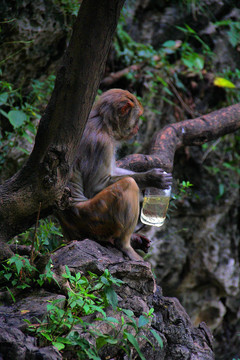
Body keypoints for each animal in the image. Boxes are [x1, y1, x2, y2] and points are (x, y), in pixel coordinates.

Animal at [57, 88, 172, 260]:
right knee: (128, 184)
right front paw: (152, 178)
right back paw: (124, 245)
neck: (104, 124)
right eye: (137, 117)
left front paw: (147, 184)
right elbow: (95, 187)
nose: (138, 127)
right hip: (94, 217)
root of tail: (71, 234)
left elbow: (114, 170)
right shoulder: (102, 143)